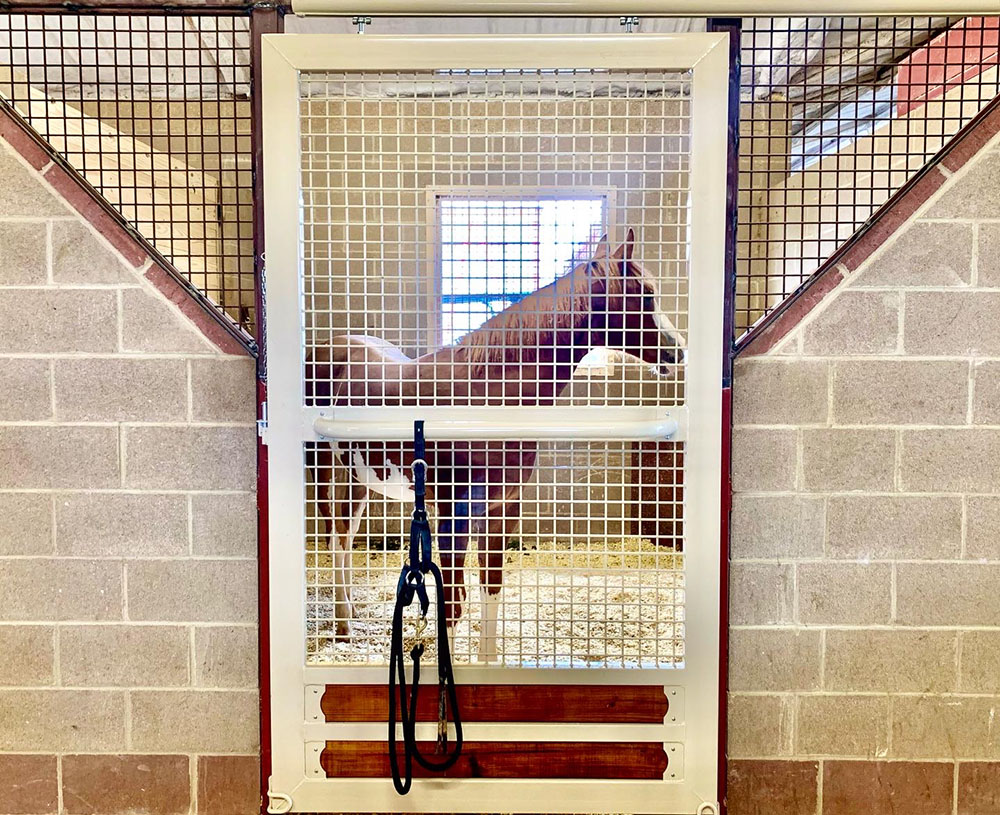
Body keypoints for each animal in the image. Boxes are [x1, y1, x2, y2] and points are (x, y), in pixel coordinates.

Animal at [304, 225, 684, 664]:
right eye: (646, 294)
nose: (677, 350)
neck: (487, 399)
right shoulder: (453, 513)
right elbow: (452, 601)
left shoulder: (504, 508)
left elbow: (492, 587)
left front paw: (488, 663)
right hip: (321, 466)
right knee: (334, 534)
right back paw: (342, 623)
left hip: (362, 473)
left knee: (346, 533)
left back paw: (349, 615)